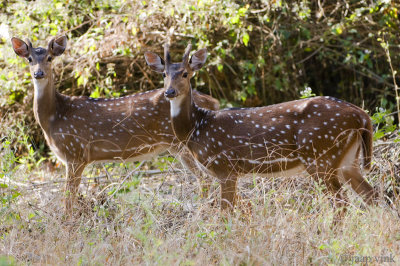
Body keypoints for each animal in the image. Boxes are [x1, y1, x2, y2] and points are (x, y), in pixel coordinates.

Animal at [11, 35, 219, 214]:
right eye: (29, 59)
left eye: (50, 58)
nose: (38, 73)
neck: (55, 116)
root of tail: (212, 102)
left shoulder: (75, 152)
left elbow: (68, 200)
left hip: (181, 143)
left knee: (206, 178)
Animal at [145, 43, 378, 210]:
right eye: (164, 74)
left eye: (185, 73)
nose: (169, 92)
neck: (197, 128)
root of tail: (362, 115)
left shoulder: (225, 167)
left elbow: (225, 212)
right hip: (347, 159)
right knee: (372, 196)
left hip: (321, 155)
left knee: (342, 202)